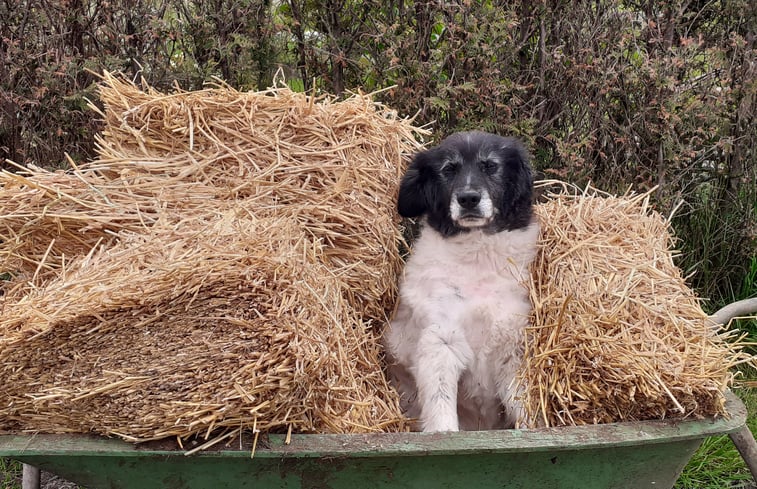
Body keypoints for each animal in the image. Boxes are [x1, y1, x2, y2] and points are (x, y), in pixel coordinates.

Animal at [383, 131, 539, 432]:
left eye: (490, 166)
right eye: (448, 170)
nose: (468, 198)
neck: (477, 259)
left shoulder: (512, 347)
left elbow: (524, 406)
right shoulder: (441, 341)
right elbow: (440, 404)